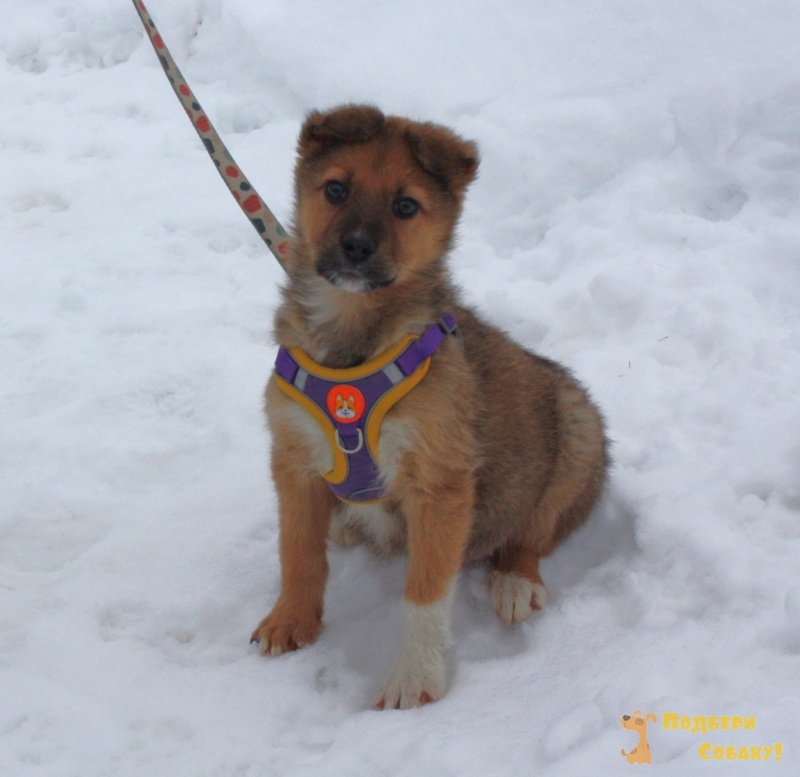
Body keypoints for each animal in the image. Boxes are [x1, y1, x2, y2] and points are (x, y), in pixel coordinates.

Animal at [250, 104, 608, 709]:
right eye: (336, 189)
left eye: (405, 206)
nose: (356, 247)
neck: (353, 338)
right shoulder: (293, 458)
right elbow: (297, 552)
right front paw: (291, 620)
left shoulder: (439, 482)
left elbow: (424, 592)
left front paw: (413, 680)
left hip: (577, 428)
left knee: (535, 531)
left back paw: (515, 581)